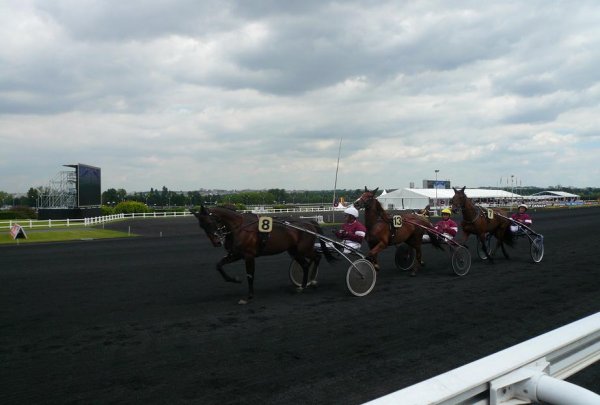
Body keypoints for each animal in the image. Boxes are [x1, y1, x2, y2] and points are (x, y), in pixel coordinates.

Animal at [192, 205, 336, 304]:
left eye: (210, 222)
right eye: (201, 226)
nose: (216, 242)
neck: (240, 228)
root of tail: (309, 223)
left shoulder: (249, 255)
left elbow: (250, 275)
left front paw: (249, 296)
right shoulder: (236, 254)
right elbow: (219, 265)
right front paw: (234, 279)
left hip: (303, 249)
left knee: (316, 257)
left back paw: (311, 281)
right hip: (294, 251)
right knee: (306, 264)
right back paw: (304, 285)